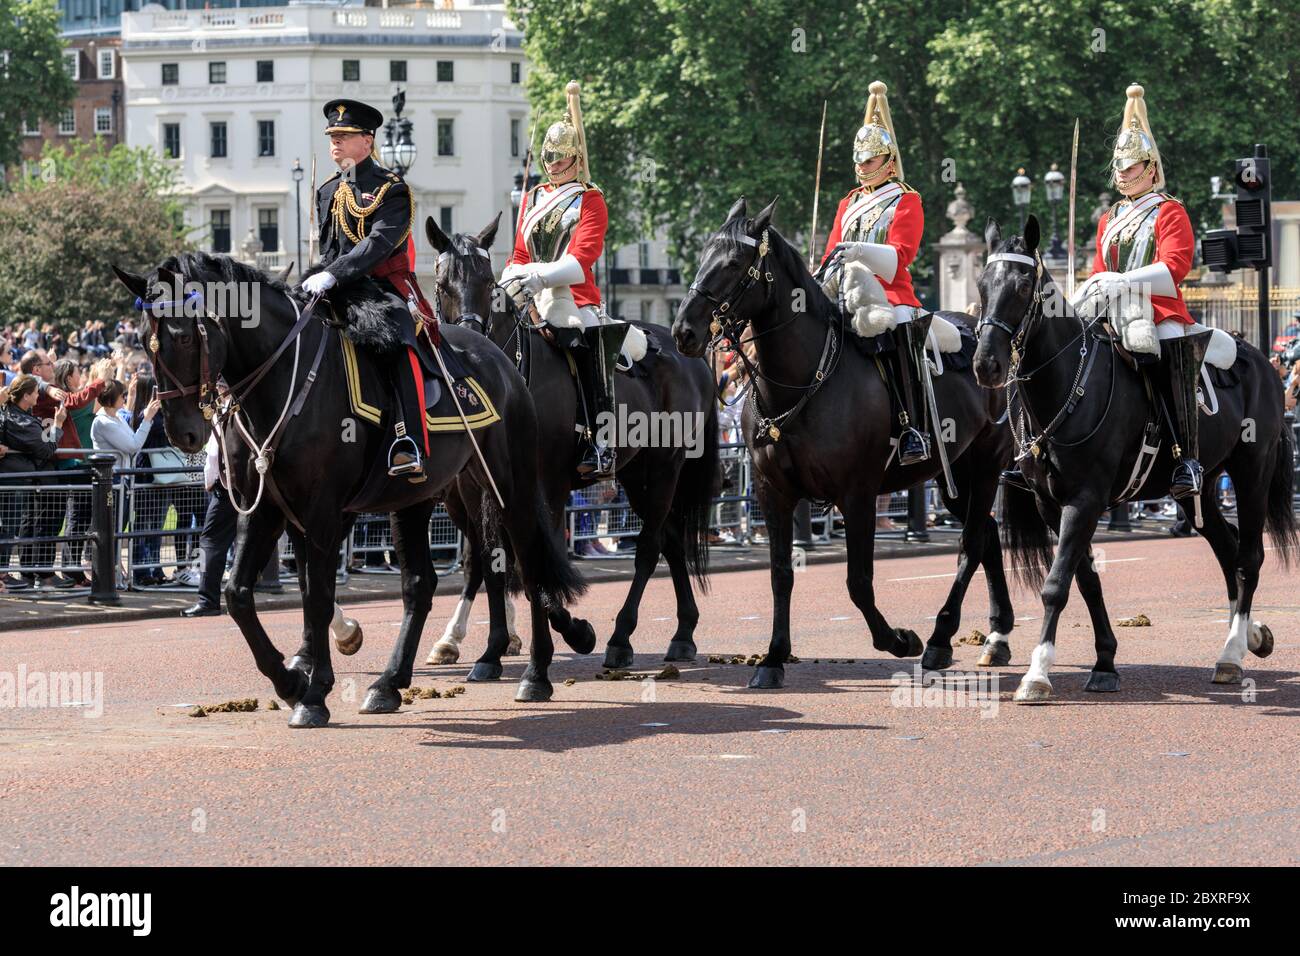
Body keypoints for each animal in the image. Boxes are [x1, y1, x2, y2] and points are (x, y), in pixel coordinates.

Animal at [111, 251, 590, 728]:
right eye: (145, 343)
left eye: (182, 336)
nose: (183, 433)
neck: (282, 384)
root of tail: (498, 355)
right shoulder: (264, 508)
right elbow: (239, 595)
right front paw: (291, 680)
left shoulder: (322, 511)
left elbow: (318, 598)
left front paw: (314, 693)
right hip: (422, 498)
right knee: (425, 582)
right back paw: (390, 683)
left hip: (510, 488)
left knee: (528, 562)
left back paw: (536, 673)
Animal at [421, 214, 717, 671]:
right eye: (442, 282)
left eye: (489, 282)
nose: (471, 341)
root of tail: (688, 352)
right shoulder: (472, 491)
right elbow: (490, 561)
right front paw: (491, 650)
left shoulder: (548, 486)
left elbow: (541, 559)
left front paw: (574, 632)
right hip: (636, 472)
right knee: (669, 539)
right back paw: (683, 633)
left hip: (665, 466)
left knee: (650, 546)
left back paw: (619, 638)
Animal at [676, 196, 1019, 686]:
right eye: (703, 254)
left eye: (734, 263)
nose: (684, 331)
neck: (801, 382)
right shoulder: (773, 491)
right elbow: (781, 574)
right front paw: (773, 659)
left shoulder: (857, 493)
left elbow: (859, 582)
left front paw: (899, 640)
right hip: (955, 472)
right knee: (987, 533)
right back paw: (996, 637)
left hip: (988, 463)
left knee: (972, 542)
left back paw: (939, 640)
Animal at [972, 214, 1294, 697]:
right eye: (981, 284)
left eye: (1025, 285)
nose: (986, 364)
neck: (1066, 388)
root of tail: (1261, 359)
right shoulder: (1051, 503)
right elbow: (1084, 578)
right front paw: (1105, 662)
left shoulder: (1085, 499)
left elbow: (1056, 584)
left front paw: (1038, 674)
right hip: (1195, 489)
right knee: (1228, 548)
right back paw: (1248, 636)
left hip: (1251, 472)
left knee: (1249, 557)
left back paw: (1232, 655)